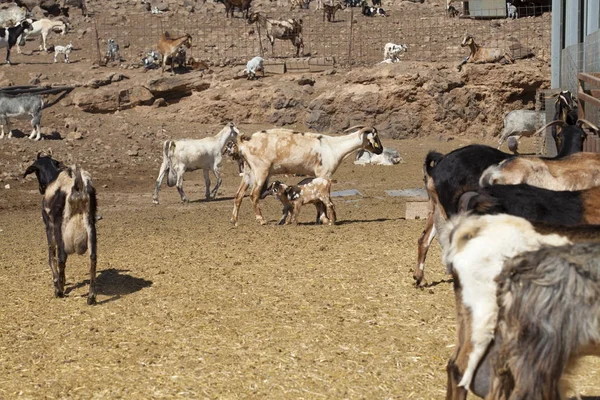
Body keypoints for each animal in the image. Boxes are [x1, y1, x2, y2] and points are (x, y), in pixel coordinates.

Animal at [23, 155, 98, 304]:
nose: (41, 189)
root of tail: (78, 186)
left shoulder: (49, 225)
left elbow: (51, 255)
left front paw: (58, 284)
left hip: (60, 227)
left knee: (61, 257)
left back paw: (60, 290)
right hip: (90, 226)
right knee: (93, 258)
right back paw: (91, 296)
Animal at [230, 126, 380, 225]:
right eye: (376, 138)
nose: (381, 150)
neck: (334, 147)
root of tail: (245, 142)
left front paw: (320, 219)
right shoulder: (324, 174)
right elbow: (323, 199)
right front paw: (325, 219)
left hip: (248, 172)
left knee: (238, 195)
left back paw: (234, 220)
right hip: (260, 171)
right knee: (253, 195)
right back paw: (261, 220)